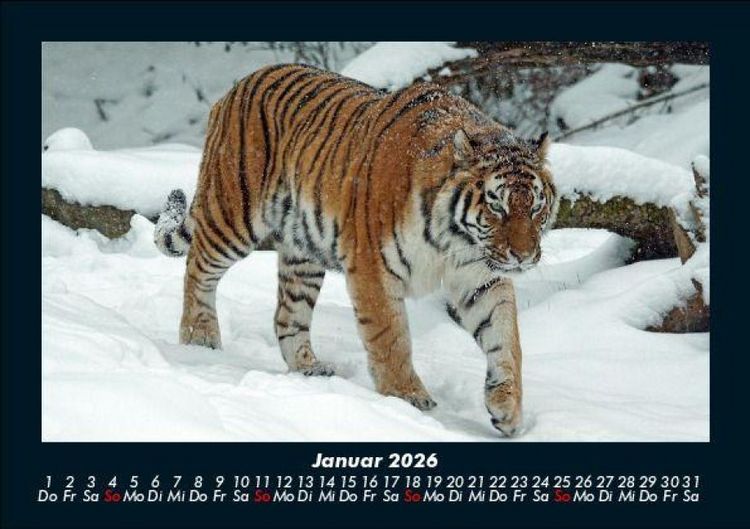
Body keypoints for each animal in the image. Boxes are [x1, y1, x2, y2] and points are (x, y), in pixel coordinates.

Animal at [154, 64, 557, 436]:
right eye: (497, 206)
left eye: (536, 206)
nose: (523, 257)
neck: (454, 240)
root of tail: (238, 85)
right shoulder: (373, 268)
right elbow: (391, 338)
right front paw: (407, 398)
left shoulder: (481, 276)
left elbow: (506, 338)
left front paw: (507, 409)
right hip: (233, 214)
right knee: (197, 269)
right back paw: (199, 339)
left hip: (303, 253)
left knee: (287, 315)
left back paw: (309, 369)